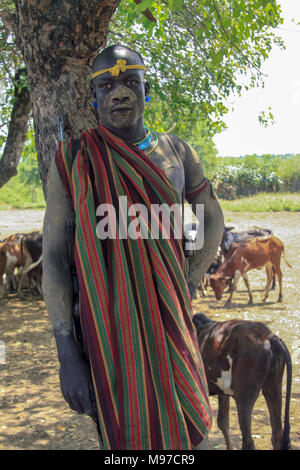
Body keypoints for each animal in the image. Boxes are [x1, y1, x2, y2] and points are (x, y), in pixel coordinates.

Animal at [191, 314, 292, 450]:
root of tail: (267, 335)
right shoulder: (222, 391)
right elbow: (222, 421)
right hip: (273, 387)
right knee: (276, 435)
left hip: (244, 395)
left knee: (248, 441)